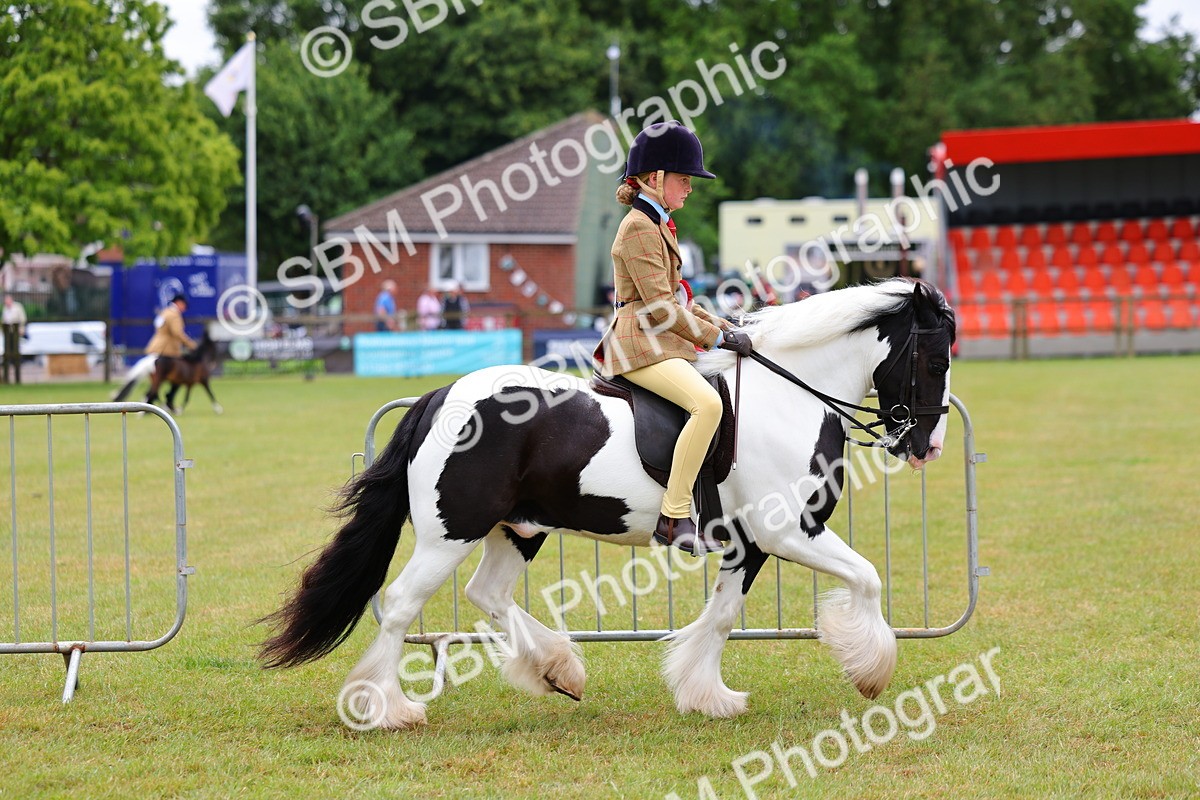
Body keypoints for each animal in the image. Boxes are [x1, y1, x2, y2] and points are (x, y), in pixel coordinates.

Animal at [259, 278, 956, 729]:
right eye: (933, 357)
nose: (927, 444)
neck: (789, 397)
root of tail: (440, 396)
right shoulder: (791, 533)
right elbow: (866, 577)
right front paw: (871, 672)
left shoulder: (751, 545)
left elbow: (723, 617)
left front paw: (706, 695)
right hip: (449, 533)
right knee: (403, 604)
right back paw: (388, 709)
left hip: (519, 529)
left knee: (488, 593)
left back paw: (558, 670)